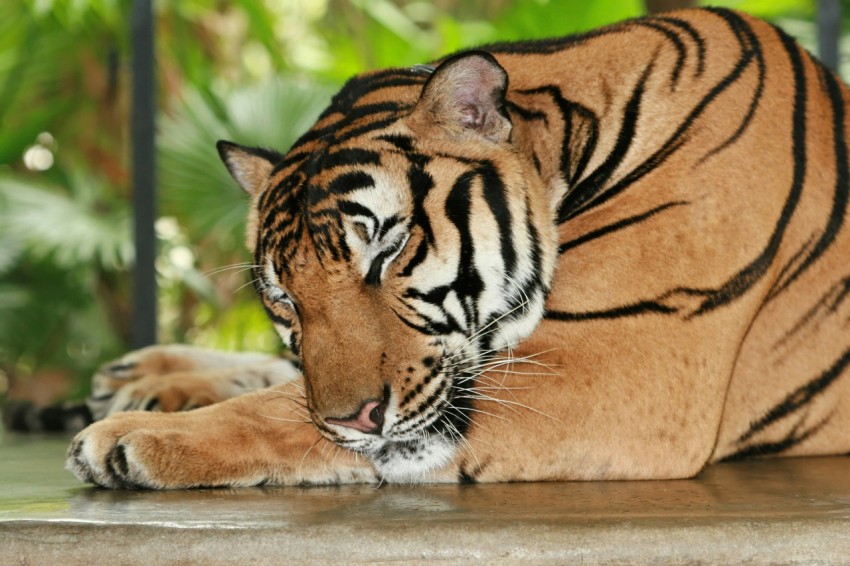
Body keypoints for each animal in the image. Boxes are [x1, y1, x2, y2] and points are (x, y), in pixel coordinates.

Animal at [65, 7, 850, 489]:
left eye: (386, 250)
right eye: (284, 296)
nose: (355, 420)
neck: (571, 140)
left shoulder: (616, 367)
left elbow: (283, 409)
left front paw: (130, 438)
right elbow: (290, 387)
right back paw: (142, 370)